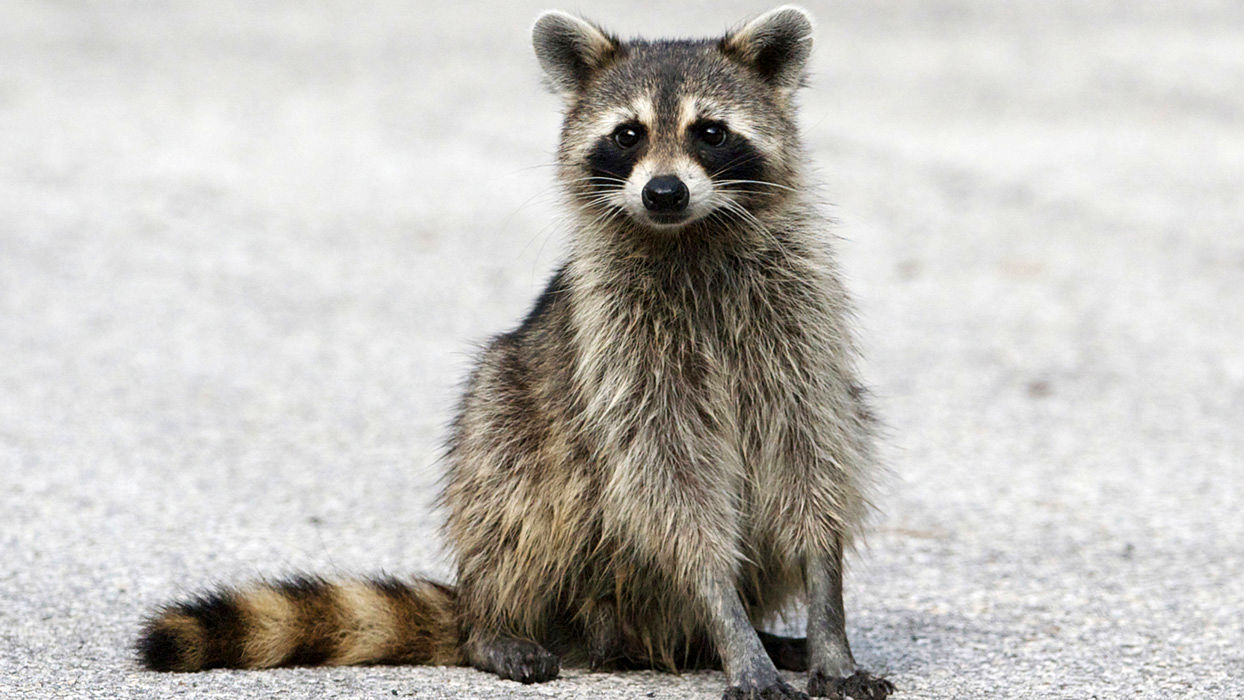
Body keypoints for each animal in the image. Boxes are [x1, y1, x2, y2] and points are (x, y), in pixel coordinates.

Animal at [136, 6, 895, 700]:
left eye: (710, 132)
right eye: (628, 135)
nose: (663, 192)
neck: (689, 236)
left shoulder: (799, 331)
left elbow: (814, 462)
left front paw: (826, 626)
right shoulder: (620, 350)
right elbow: (671, 488)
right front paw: (729, 622)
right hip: (510, 412)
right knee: (513, 488)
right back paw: (504, 625)